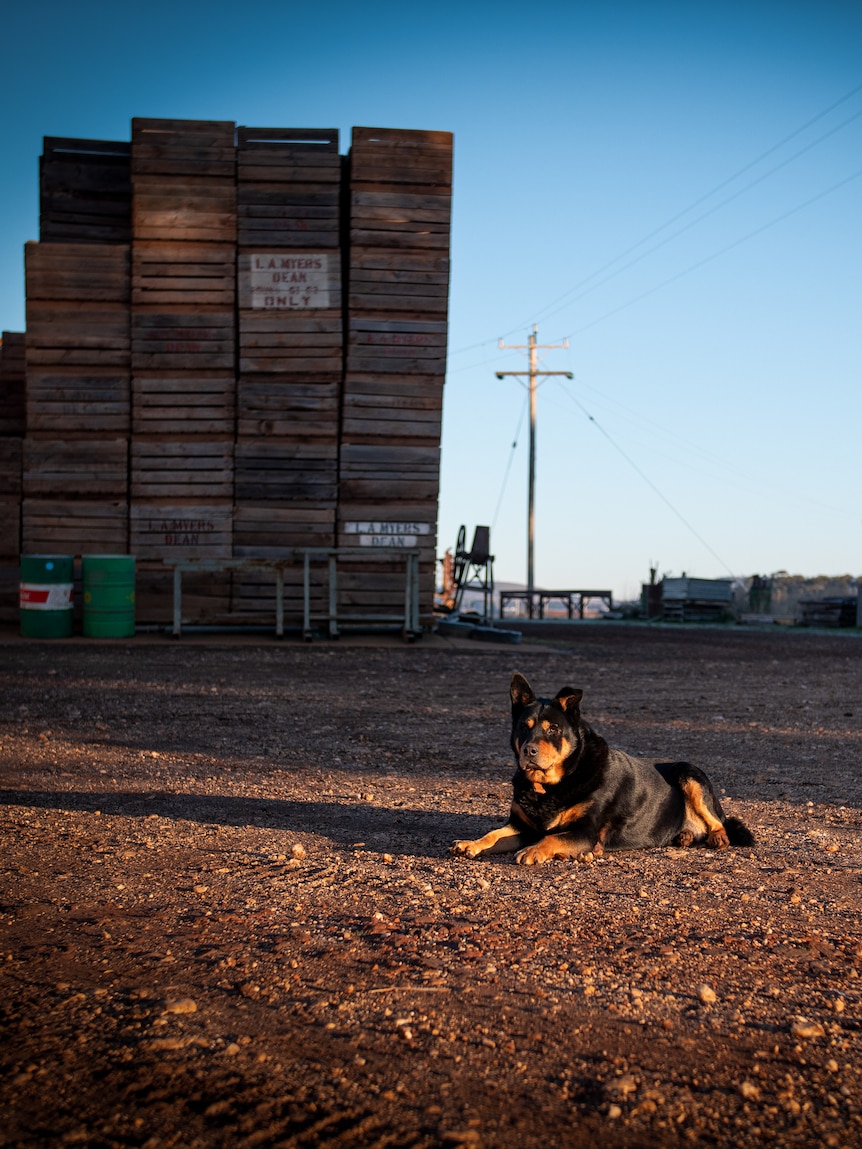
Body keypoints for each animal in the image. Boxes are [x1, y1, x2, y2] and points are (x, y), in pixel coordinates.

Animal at [452, 671, 753, 864]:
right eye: (524, 728)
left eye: (553, 729)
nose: (529, 751)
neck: (550, 786)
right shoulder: (522, 826)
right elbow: (493, 834)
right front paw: (470, 843)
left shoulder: (585, 831)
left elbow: (552, 839)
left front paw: (534, 851)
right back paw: (685, 837)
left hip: (689, 774)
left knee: (719, 821)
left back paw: (717, 838)